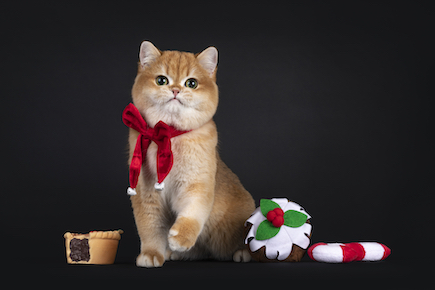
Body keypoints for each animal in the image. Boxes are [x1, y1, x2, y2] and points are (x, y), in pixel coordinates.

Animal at [127, 41, 255, 268]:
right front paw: (152, 253)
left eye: (192, 83)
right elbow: (149, 227)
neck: (169, 136)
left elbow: (192, 213)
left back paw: (243, 252)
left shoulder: (196, 185)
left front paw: (181, 237)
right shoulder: (146, 193)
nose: (176, 90)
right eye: (161, 80)